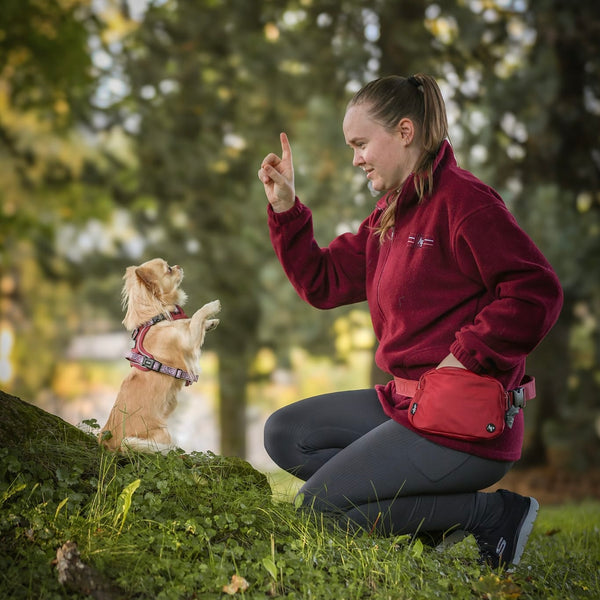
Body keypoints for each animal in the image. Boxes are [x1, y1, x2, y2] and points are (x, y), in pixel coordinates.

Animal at [98, 256, 220, 450]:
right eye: (168, 269)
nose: (178, 265)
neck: (156, 319)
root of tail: (110, 442)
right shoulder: (187, 341)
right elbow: (195, 318)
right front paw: (212, 306)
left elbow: (191, 321)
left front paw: (210, 322)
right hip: (163, 433)